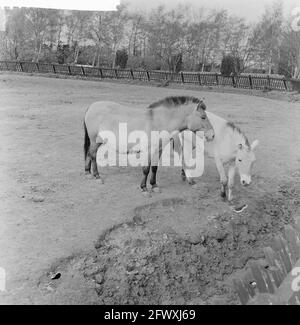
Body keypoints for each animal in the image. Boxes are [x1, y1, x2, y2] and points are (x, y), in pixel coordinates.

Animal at [84, 95, 214, 194]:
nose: (212, 135)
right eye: (203, 117)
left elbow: (154, 168)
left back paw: (88, 173)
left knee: (89, 154)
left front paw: (154, 185)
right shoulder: (148, 150)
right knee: (93, 155)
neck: (158, 122)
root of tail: (91, 106)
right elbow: (146, 169)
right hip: (95, 140)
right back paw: (97, 176)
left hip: (97, 141)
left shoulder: (159, 150)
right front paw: (144, 188)